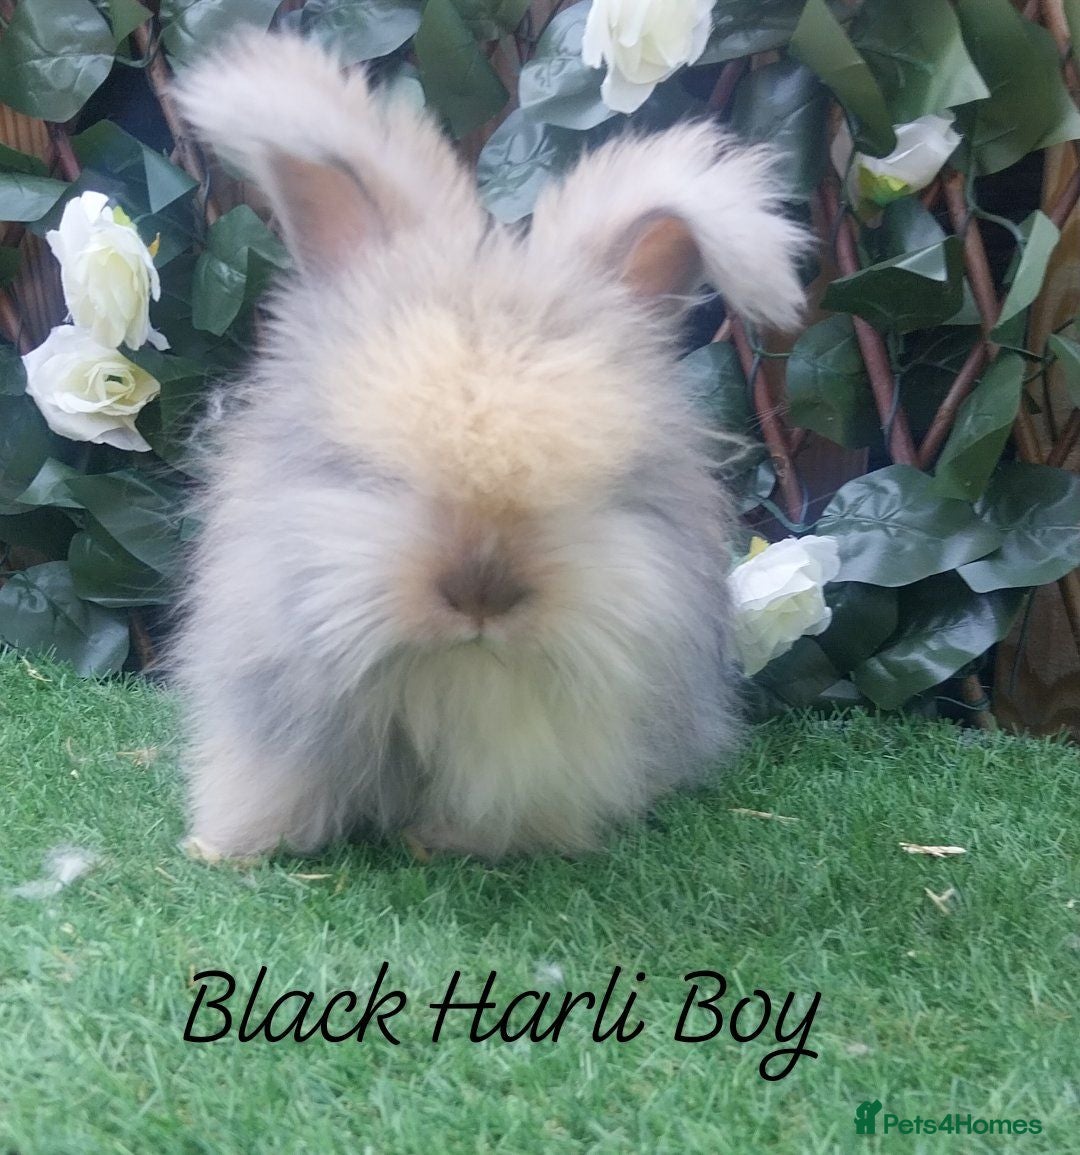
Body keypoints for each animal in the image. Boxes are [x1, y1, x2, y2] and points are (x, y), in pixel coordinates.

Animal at [170, 33, 808, 861]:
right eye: (381, 474)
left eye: (590, 492)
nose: (481, 594)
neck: (459, 673)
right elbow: (273, 784)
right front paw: (223, 848)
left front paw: (441, 842)